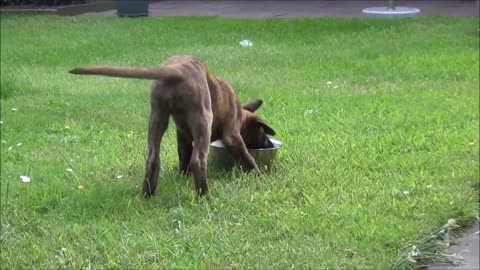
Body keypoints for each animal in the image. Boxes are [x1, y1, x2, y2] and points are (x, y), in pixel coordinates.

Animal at [69, 56, 276, 197]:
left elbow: (183, 156)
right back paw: (205, 196)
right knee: (198, 160)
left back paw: (147, 195)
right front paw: (259, 175)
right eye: (263, 133)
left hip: (157, 116)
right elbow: (247, 157)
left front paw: (182, 178)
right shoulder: (231, 136)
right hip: (204, 120)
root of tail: (177, 70)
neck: (239, 113)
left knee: (153, 158)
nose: (270, 144)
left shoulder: (182, 133)